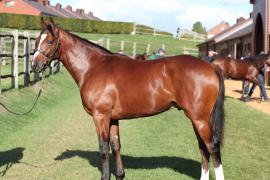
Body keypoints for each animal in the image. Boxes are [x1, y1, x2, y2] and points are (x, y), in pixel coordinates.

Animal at [31, 17, 226, 180]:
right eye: (36, 40)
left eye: (50, 41)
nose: (35, 66)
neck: (93, 67)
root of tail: (210, 67)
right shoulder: (113, 118)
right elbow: (116, 146)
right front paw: (120, 174)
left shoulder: (100, 116)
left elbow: (103, 148)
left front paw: (105, 176)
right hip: (198, 119)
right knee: (203, 149)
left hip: (199, 119)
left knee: (212, 148)